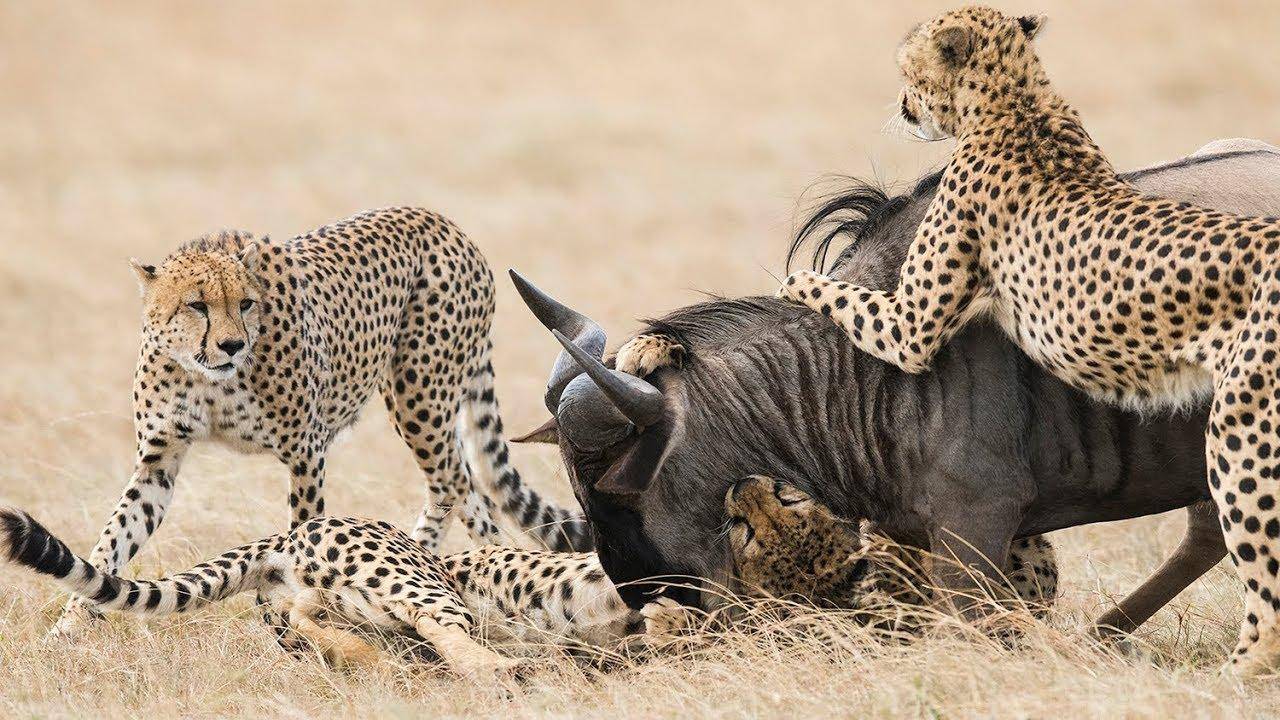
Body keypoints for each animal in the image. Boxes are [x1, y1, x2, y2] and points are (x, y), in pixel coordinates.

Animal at [51, 206, 588, 632]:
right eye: (196, 305)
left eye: (245, 303)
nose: (232, 344)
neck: (208, 376)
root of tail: (442, 221)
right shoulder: (158, 462)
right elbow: (112, 540)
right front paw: (69, 627)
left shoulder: (305, 452)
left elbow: (304, 528)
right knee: (458, 485)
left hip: (418, 397)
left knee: (457, 485)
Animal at [773, 2, 1280, 671]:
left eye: (909, 70)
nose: (902, 107)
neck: (1020, 101)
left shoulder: (913, 328)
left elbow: (833, 292)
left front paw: (791, 284)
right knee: (1211, 535)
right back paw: (1105, 638)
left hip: (1236, 428)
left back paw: (1220, 672)